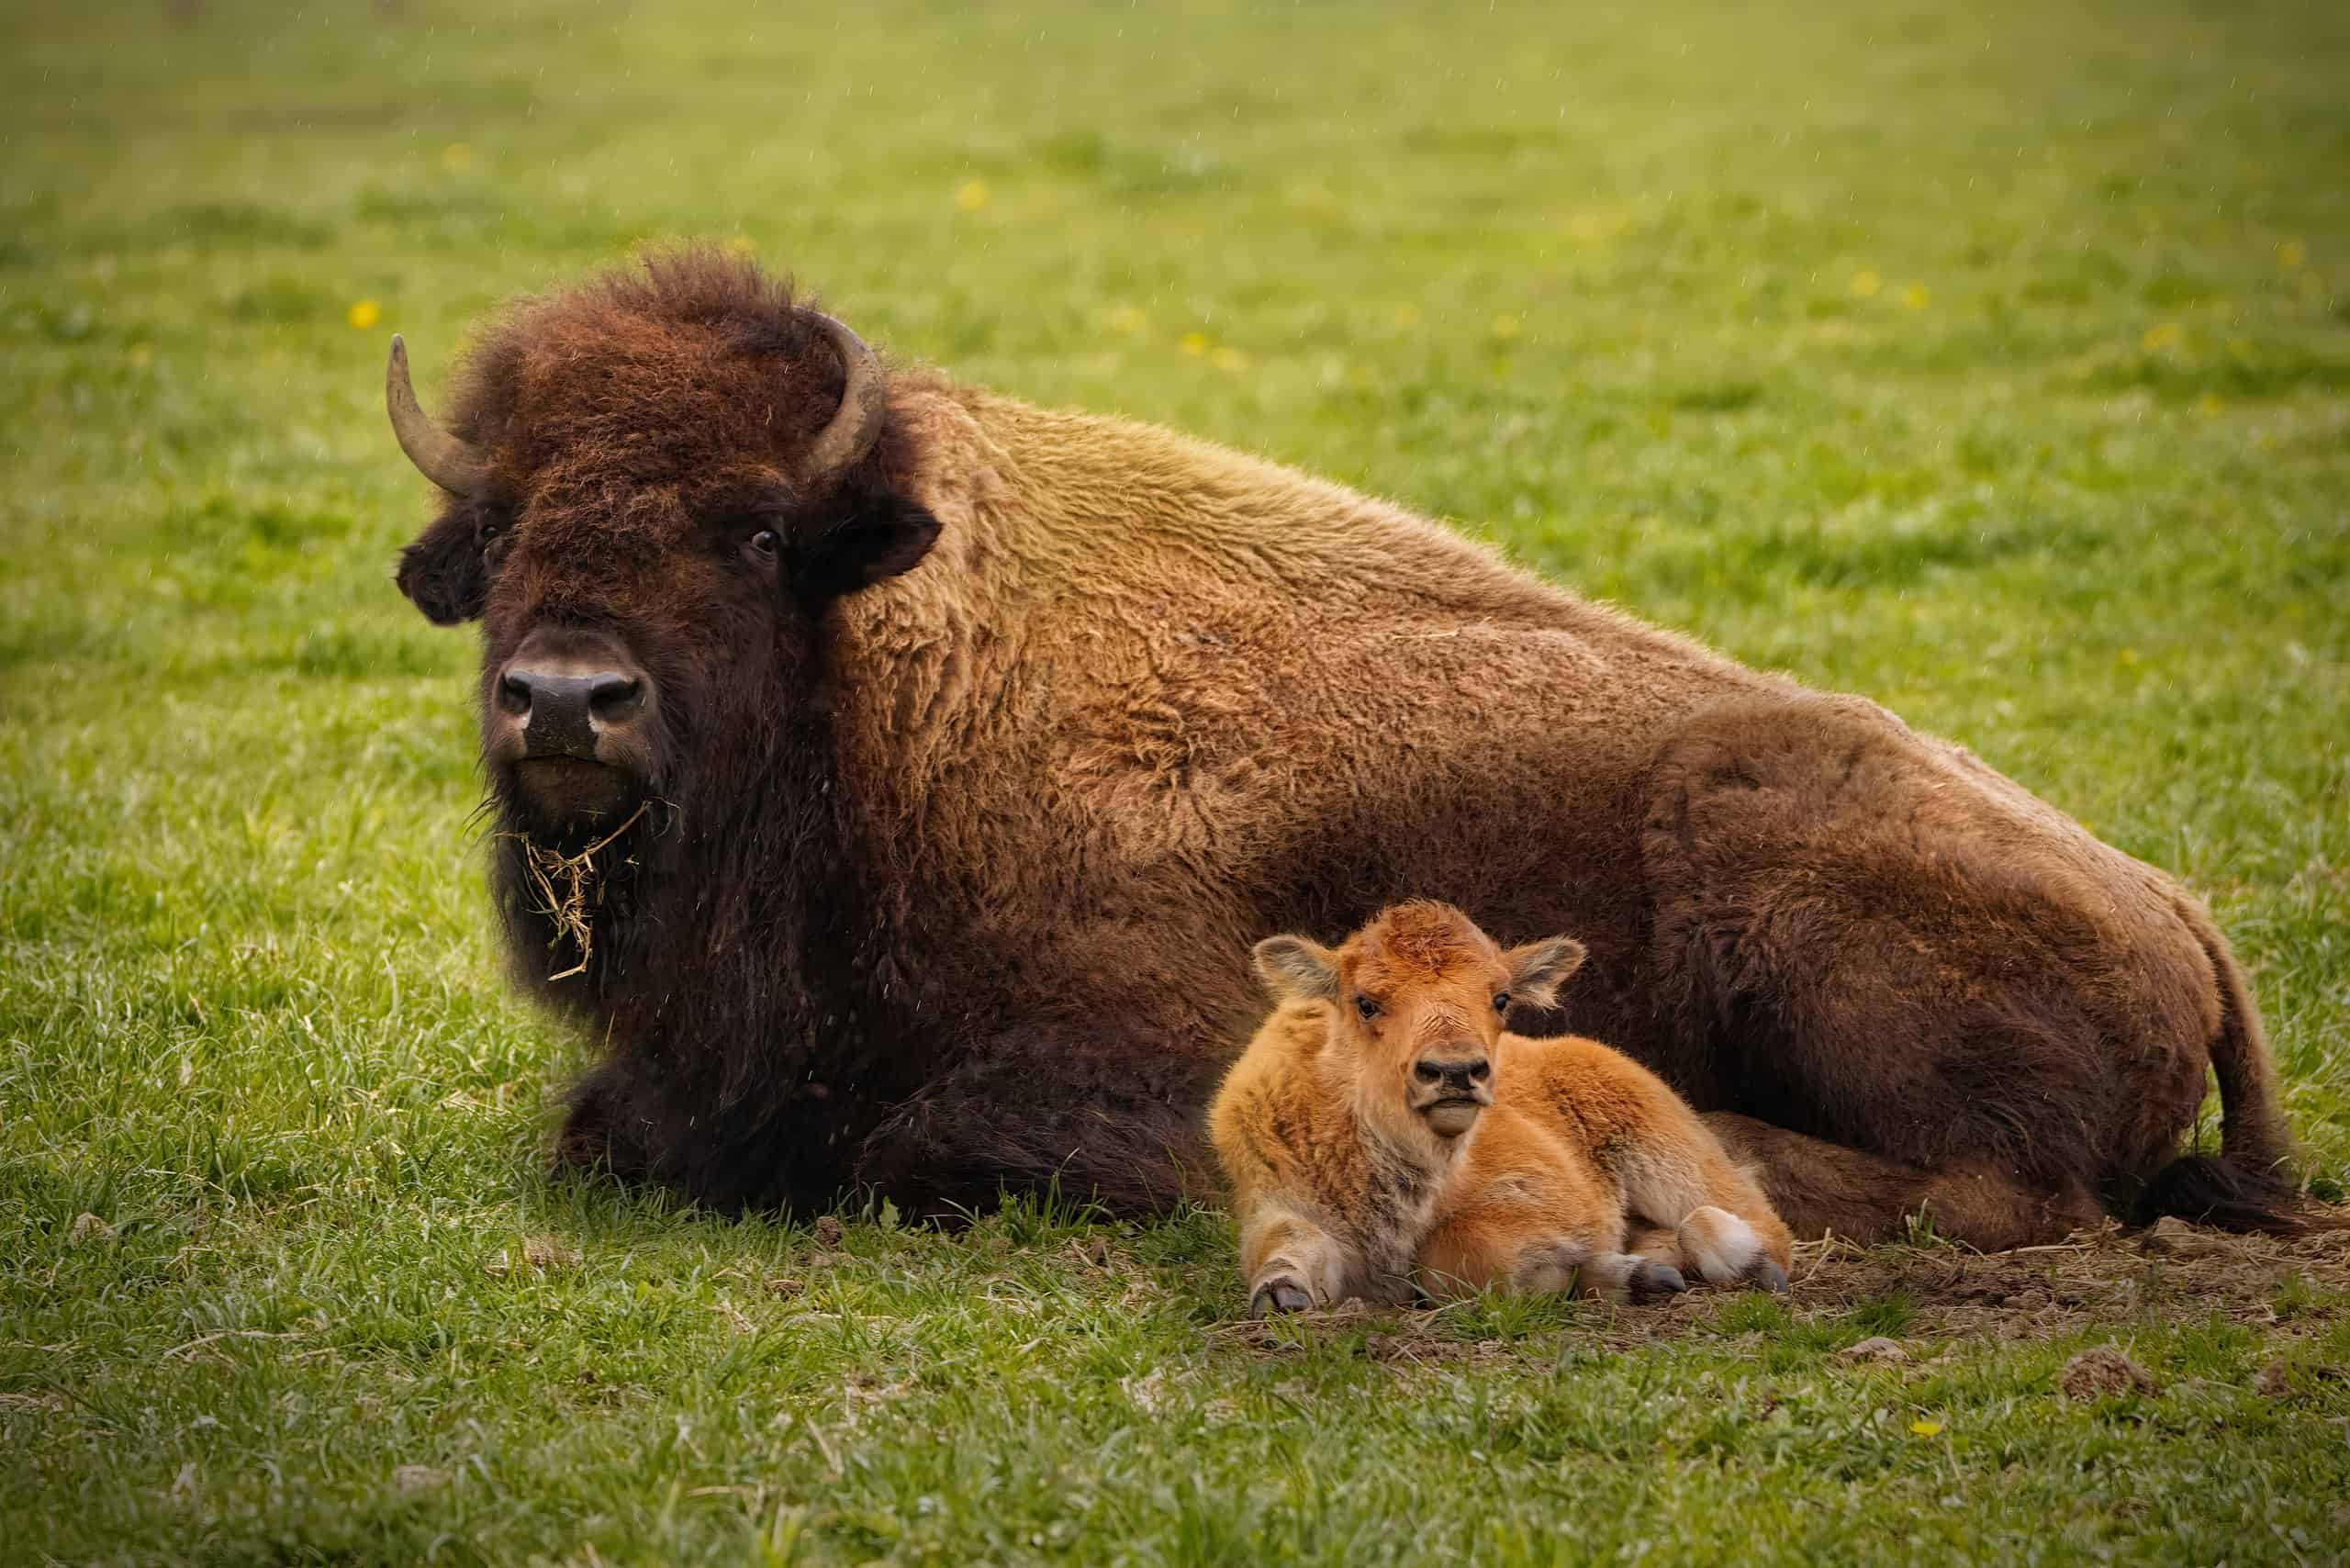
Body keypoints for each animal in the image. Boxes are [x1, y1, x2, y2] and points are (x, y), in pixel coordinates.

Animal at [386, 251, 2320, 1244]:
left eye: (755, 533)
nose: (565, 698)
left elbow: (909, 1145)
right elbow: (604, 1129)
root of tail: (2179, 906)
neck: (885, 681)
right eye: (506, 520)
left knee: (2001, 1195)